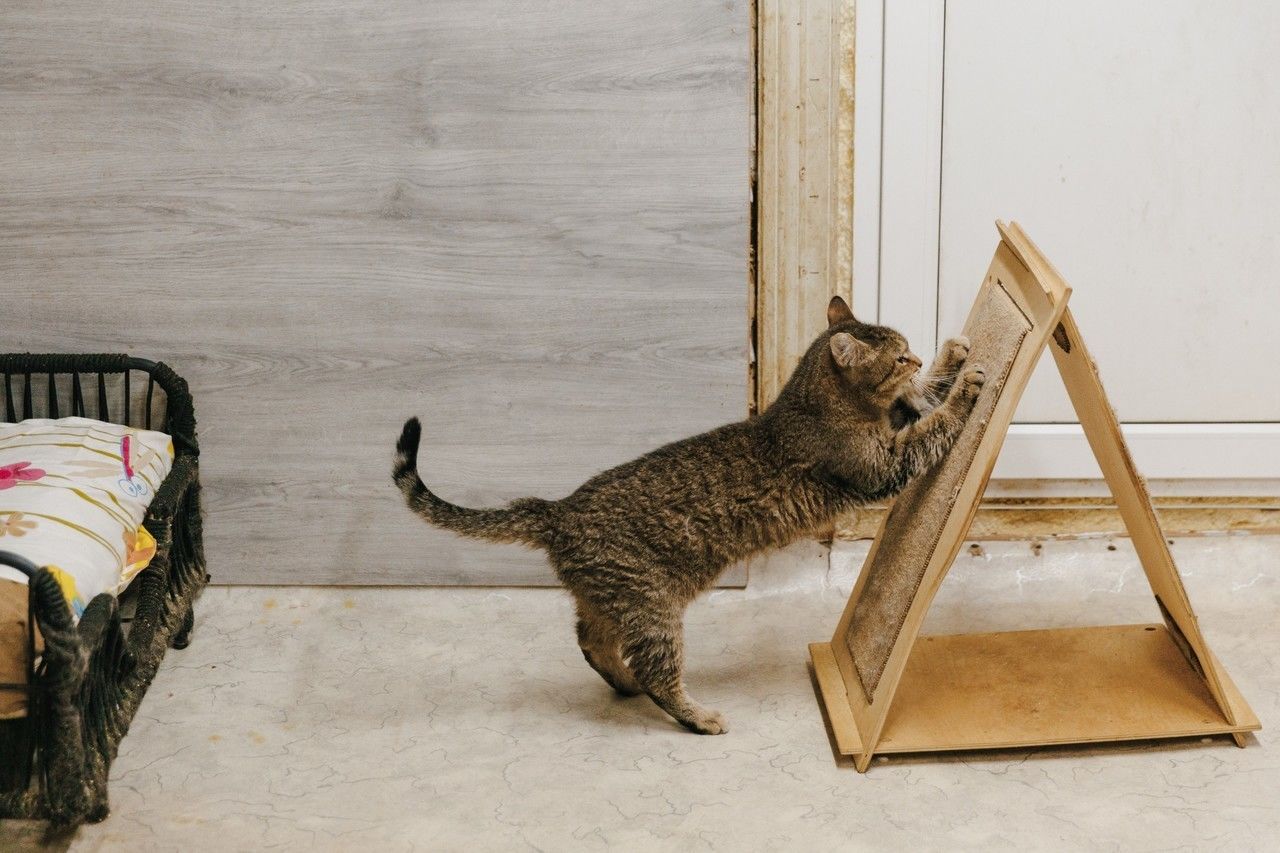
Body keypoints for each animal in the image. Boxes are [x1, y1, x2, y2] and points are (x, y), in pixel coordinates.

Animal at [393, 295, 984, 734]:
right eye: (899, 356)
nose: (915, 355)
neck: (818, 407)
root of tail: (558, 510)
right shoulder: (883, 465)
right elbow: (935, 422)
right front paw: (965, 384)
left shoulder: (897, 423)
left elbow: (926, 399)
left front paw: (952, 356)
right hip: (652, 610)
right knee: (656, 672)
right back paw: (697, 715)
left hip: (614, 602)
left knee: (592, 643)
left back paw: (624, 683)